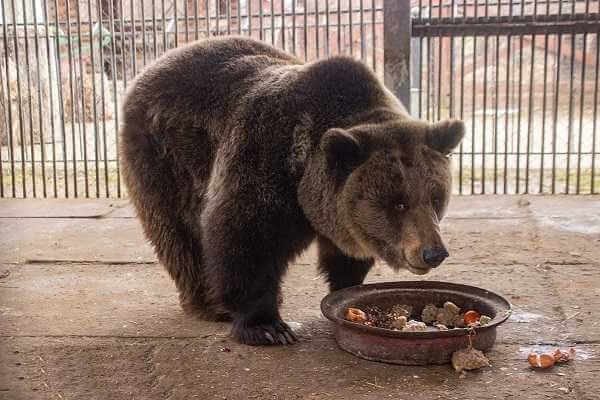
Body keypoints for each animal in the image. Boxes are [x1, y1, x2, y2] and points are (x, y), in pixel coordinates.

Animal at [119, 36, 462, 346]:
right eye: (399, 203)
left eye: (435, 199)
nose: (433, 252)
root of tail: (151, 66)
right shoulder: (266, 159)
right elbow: (244, 236)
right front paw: (266, 326)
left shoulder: (335, 210)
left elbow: (344, 254)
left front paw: (346, 286)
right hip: (166, 158)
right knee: (179, 233)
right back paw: (208, 303)